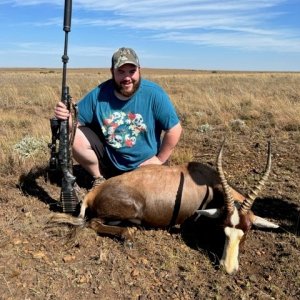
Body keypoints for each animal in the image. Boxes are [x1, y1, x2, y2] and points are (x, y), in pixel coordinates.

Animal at [51, 141, 278, 274]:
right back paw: (129, 235)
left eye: (247, 230)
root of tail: (94, 192)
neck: (207, 183)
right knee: (93, 223)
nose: (228, 269)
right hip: (128, 210)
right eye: (222, 229)